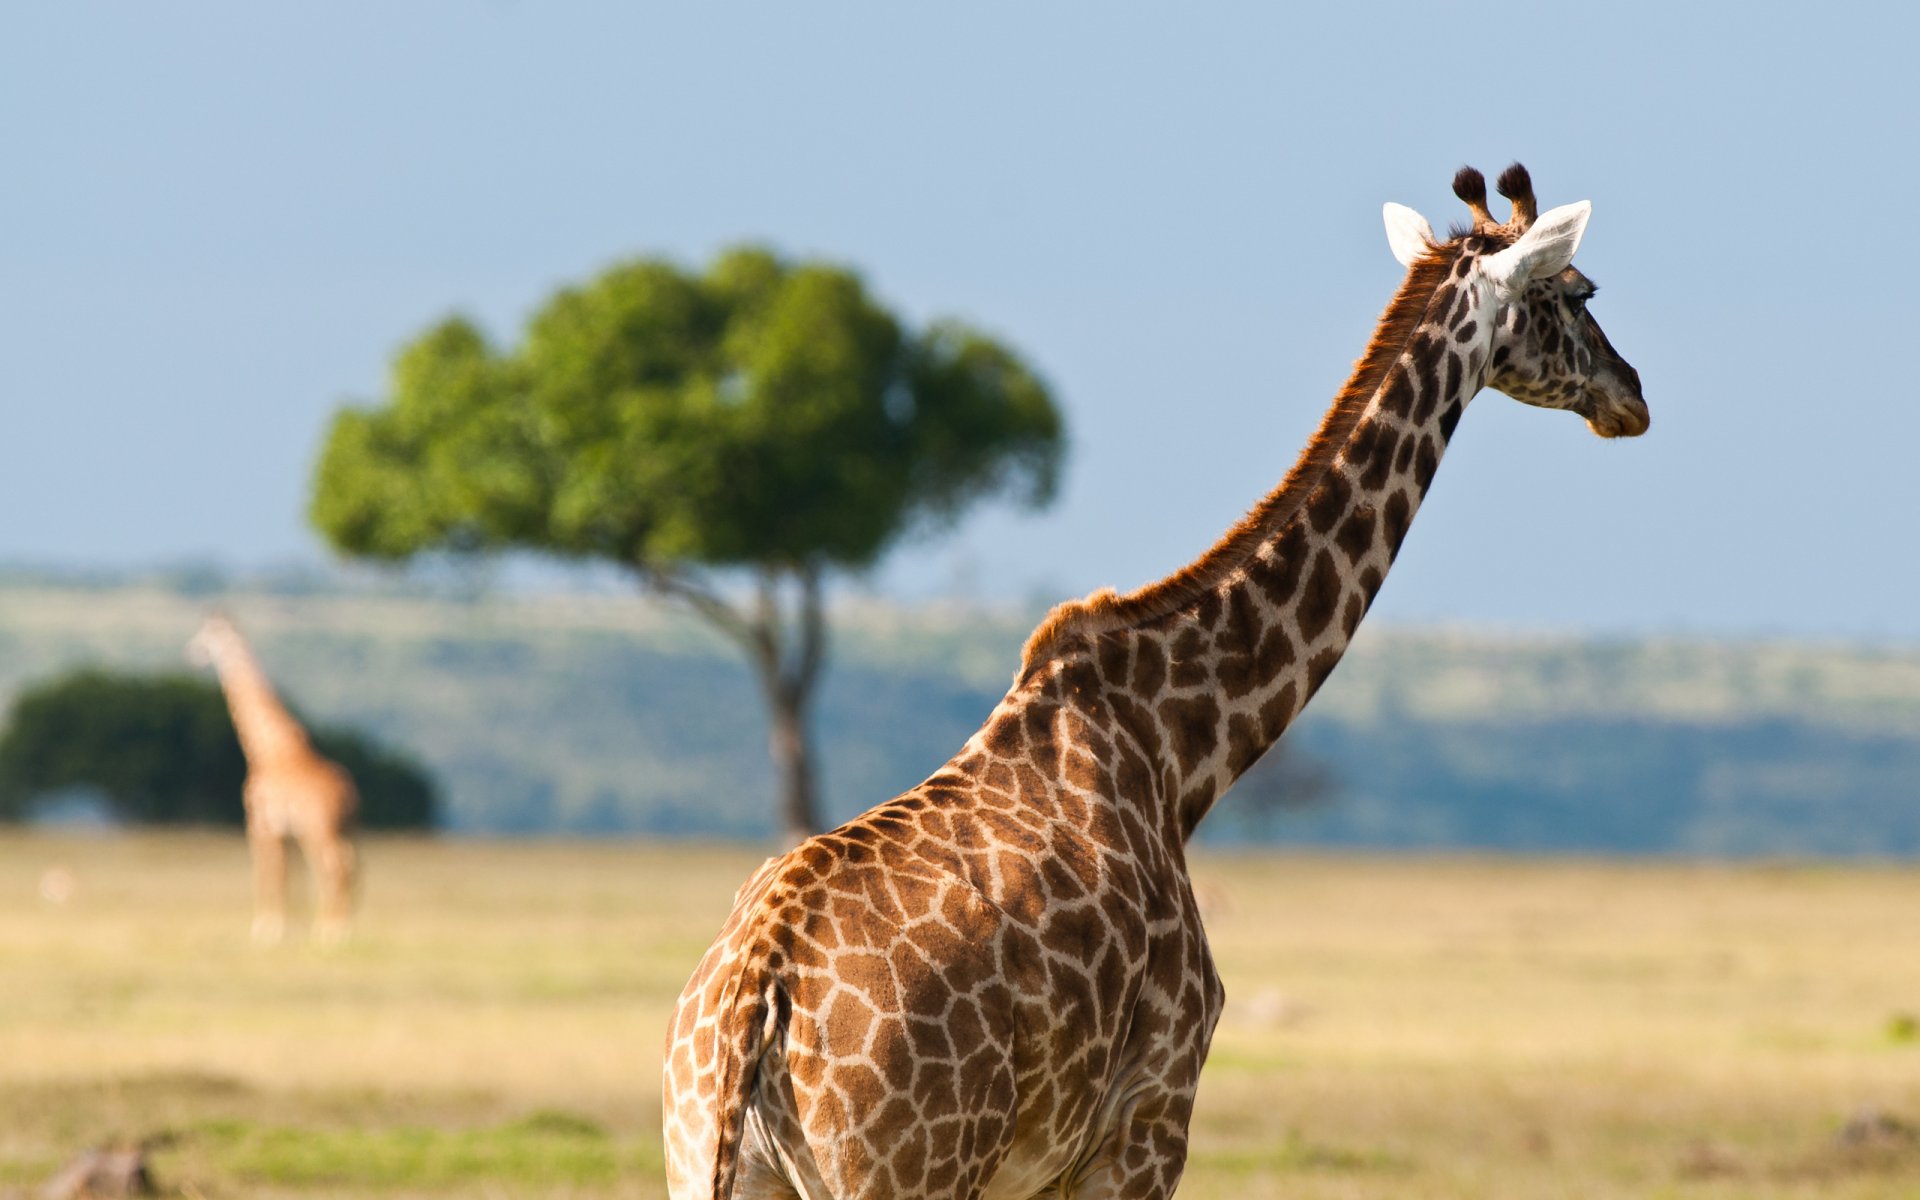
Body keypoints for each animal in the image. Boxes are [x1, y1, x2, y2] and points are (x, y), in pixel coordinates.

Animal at [187, 613, 359, 945]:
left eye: (209, 635)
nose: (192, 653)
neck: (268, 749)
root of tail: (348, 794)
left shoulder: (259, 822)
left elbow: (268, 872)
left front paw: (266, 929)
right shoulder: (284, 830)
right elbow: (291, 875)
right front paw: (291, 927)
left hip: (318, 827)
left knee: (334, 866)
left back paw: (331, 931)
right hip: (346, 828)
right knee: (352, 865)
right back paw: (341, 926)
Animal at [663, 163, 1648, 1200]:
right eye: (1579, 292)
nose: (1632, 396)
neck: (1183, 754)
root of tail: (750, 1004)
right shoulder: (1148, 1120)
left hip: (713, 1161)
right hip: (901, 1172)